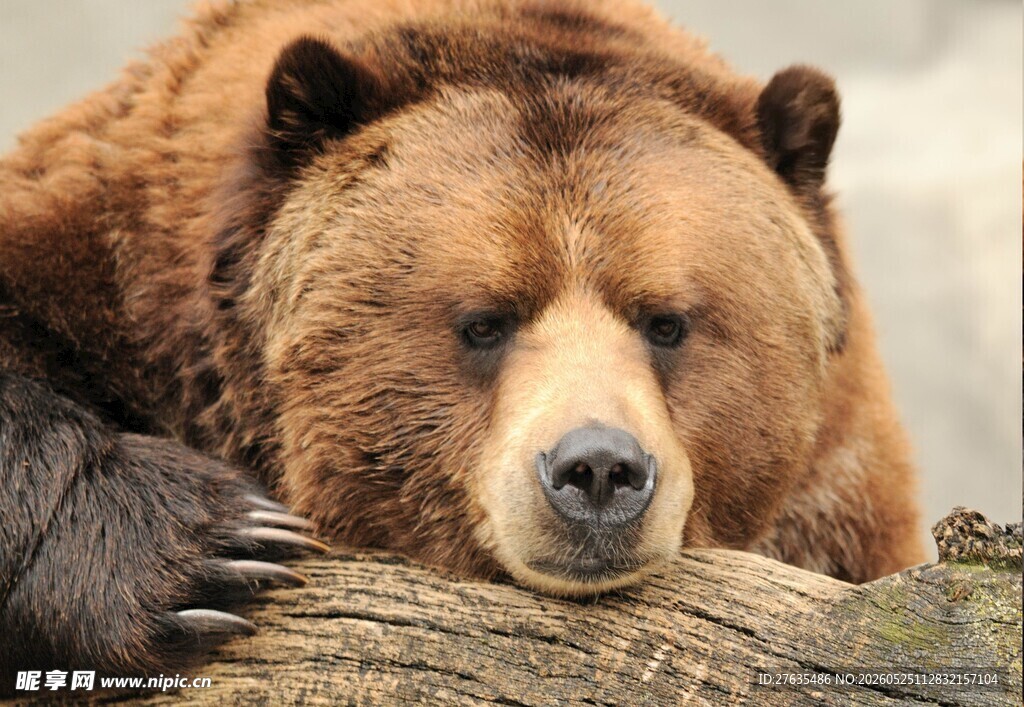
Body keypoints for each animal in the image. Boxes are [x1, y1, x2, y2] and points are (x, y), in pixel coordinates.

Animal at [0, 0, 924, 687]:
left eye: (666, 321)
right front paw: (219, 551)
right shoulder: (121, 260)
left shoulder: (843, 501)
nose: (598, 470)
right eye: (485, 320)